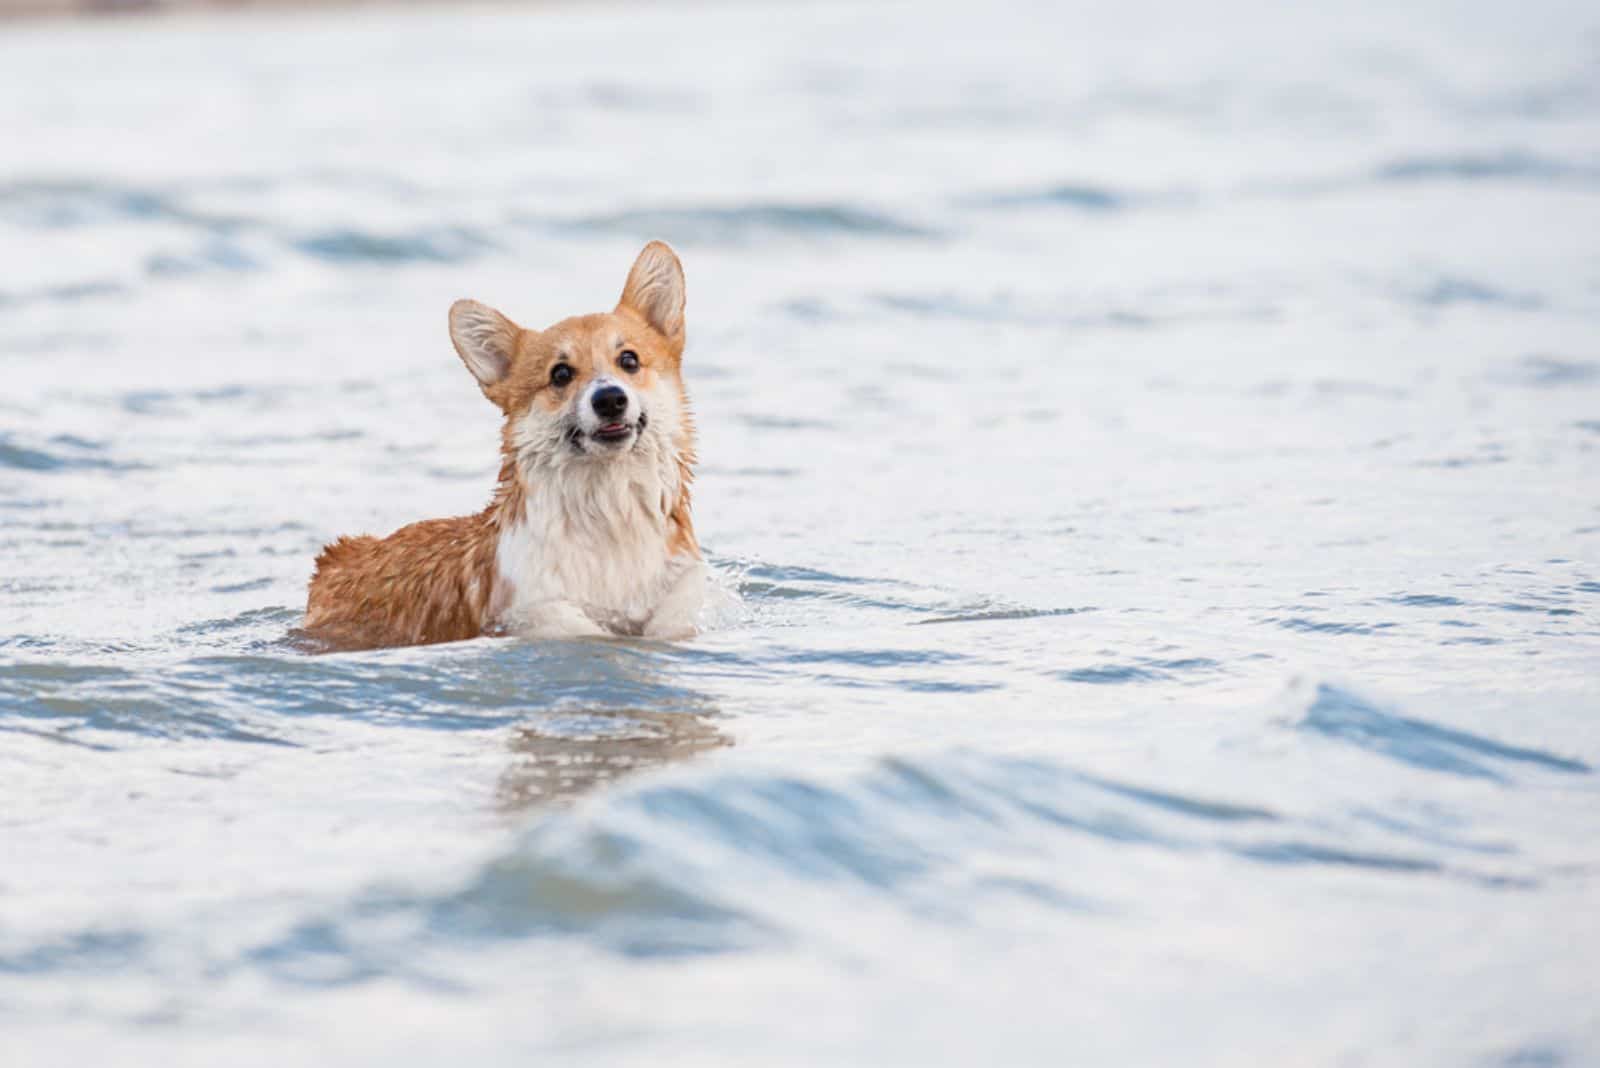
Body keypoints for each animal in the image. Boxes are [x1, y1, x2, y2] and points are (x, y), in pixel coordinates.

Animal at [302, 241, 704, 645]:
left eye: (629, 360)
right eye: (560, 374)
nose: (609, 399)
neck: (609, 514)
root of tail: (336, 556)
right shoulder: (537, 607)